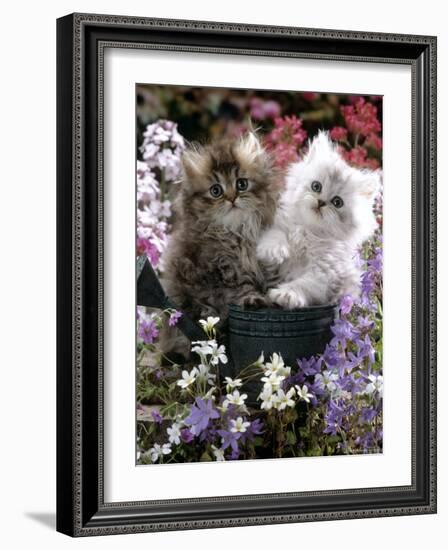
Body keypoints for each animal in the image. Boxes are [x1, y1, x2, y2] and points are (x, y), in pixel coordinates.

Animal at [163, 131, 278, 326]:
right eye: (216, 191)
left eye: (241, 184)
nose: (231, 198)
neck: (238, 231)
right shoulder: (225, 266)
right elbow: (242, 287)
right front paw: (254, 299)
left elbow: (274, 279)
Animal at [258, 131, 380, 308]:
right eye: (316, 186)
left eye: (337, 202)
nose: (321, 202)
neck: (308, 232)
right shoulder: (280, 230)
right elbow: (276, 234)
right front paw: (273, 251)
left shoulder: (324, 275)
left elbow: (302, 284)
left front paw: (285, 295)